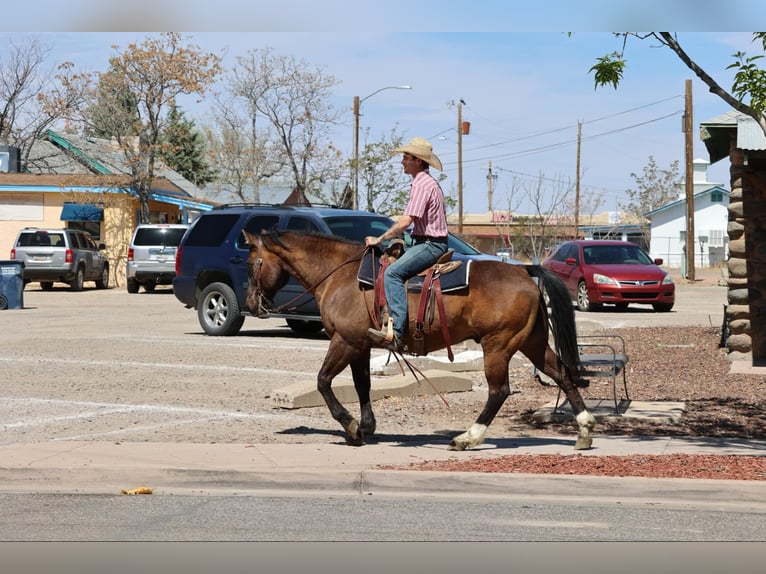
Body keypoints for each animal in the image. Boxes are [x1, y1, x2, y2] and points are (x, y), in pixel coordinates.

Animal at [243, 229, 596, 451]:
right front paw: (366, 427)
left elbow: (323, 381)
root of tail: (524, 271)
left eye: (251, 263)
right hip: (532, 342)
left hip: (499, 345)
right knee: (562, 374)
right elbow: (362, 386)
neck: (341, 276)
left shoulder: (344, 342)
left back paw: (467, 438)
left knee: (499, 391)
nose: (251, 304)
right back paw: (584, 431)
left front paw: (352, 427)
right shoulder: (360, 345)